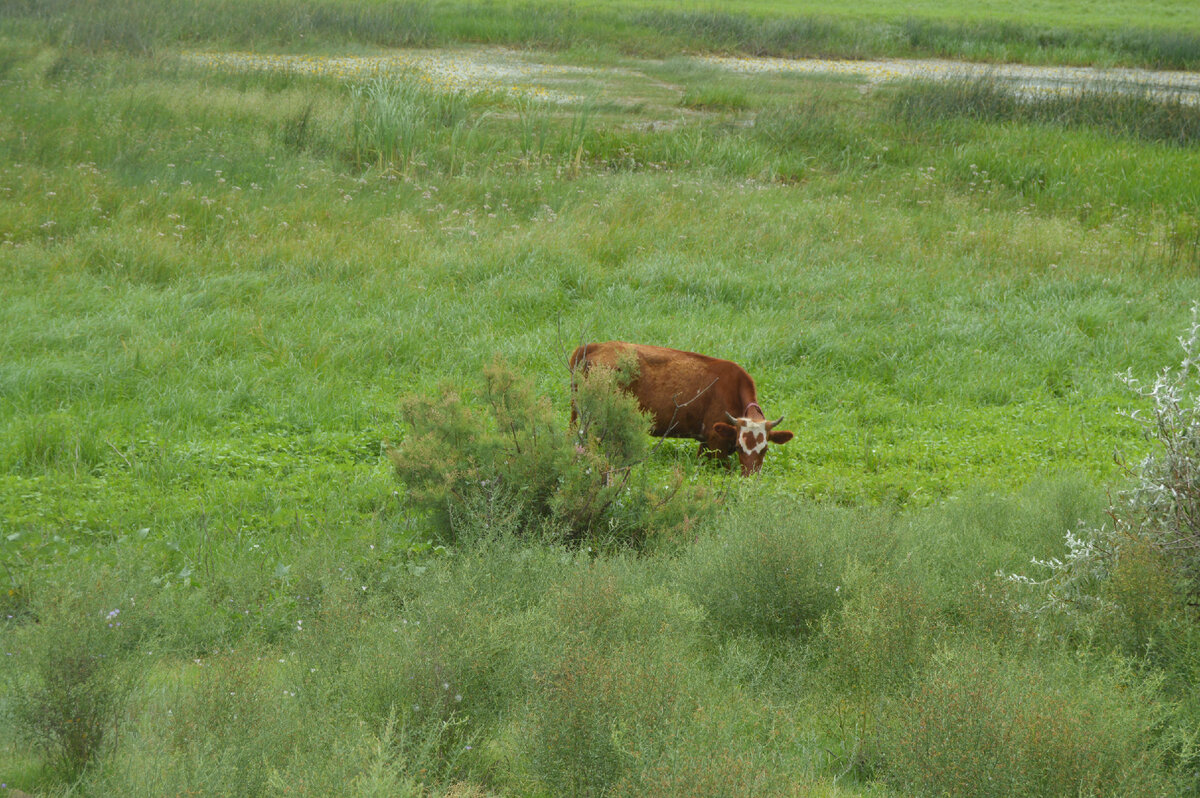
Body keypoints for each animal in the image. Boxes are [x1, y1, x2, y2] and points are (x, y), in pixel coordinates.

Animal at [566, 340, 792, 475]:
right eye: (738, 447)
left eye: (765, 449)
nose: (749, 478)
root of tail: (594, 345)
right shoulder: (716, 441)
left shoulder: (706, 440)